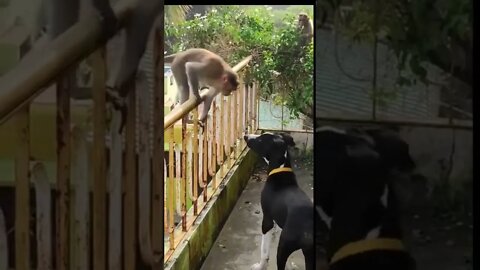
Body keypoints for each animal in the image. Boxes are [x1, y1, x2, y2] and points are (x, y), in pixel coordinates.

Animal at [244, 133, 316, 270]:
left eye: (260, 139)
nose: (246, 136)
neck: (280, 169)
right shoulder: (278, 222)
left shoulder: (267, 220)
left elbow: (264, 251)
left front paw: (260, 266)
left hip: (283, 248)